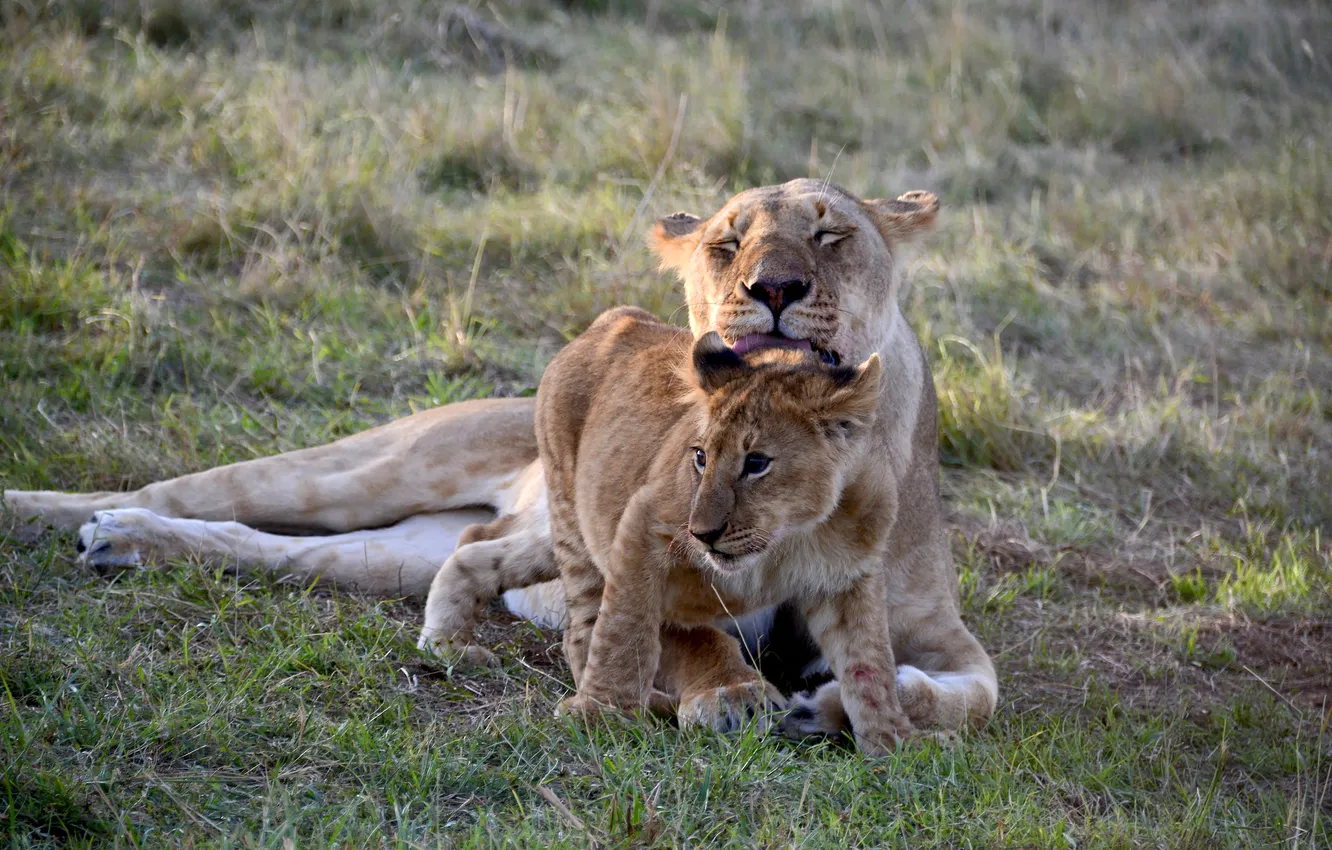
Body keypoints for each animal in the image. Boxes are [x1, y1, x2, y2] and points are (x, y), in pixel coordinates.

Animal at [3, 178, 997, 736]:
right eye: (727, 243)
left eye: (833, 237)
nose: (774, 287)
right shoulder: (657, 565)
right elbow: (694, 637)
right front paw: (733, 695)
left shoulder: (937, 631)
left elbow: (972, 693)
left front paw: (839, 702)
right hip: (370, 470)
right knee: (184, 489)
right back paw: (79, 519)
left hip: (400, 550)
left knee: (275, 549)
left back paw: (126, 544)